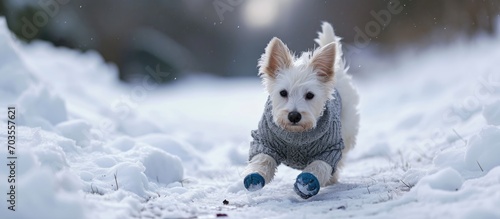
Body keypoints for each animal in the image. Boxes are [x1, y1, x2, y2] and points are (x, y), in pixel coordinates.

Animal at [242, 22, 360, 198]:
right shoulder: (265, 140)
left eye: (310, 95)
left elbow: (320, 165)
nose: (294, 115)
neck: (296, 135)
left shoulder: (330, 148)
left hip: (347, 129)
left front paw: (308, 182)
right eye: (283, 93)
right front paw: (255, 176)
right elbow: (262, 158)